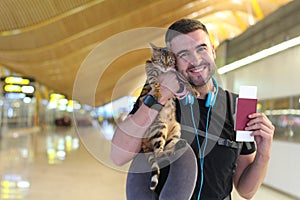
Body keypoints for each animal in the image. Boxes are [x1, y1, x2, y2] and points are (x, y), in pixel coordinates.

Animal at [141, 43, 199, 191]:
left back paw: (178, 145)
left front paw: (194, 90)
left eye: (171, 60)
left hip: (176, 128)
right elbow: (154, 82)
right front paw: (157, 91)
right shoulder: (150, 70)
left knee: (168, 147)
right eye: (161, 60)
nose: (167, 66)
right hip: (160, 127)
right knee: (158, 154)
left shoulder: (177, 75)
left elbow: (186, 82)